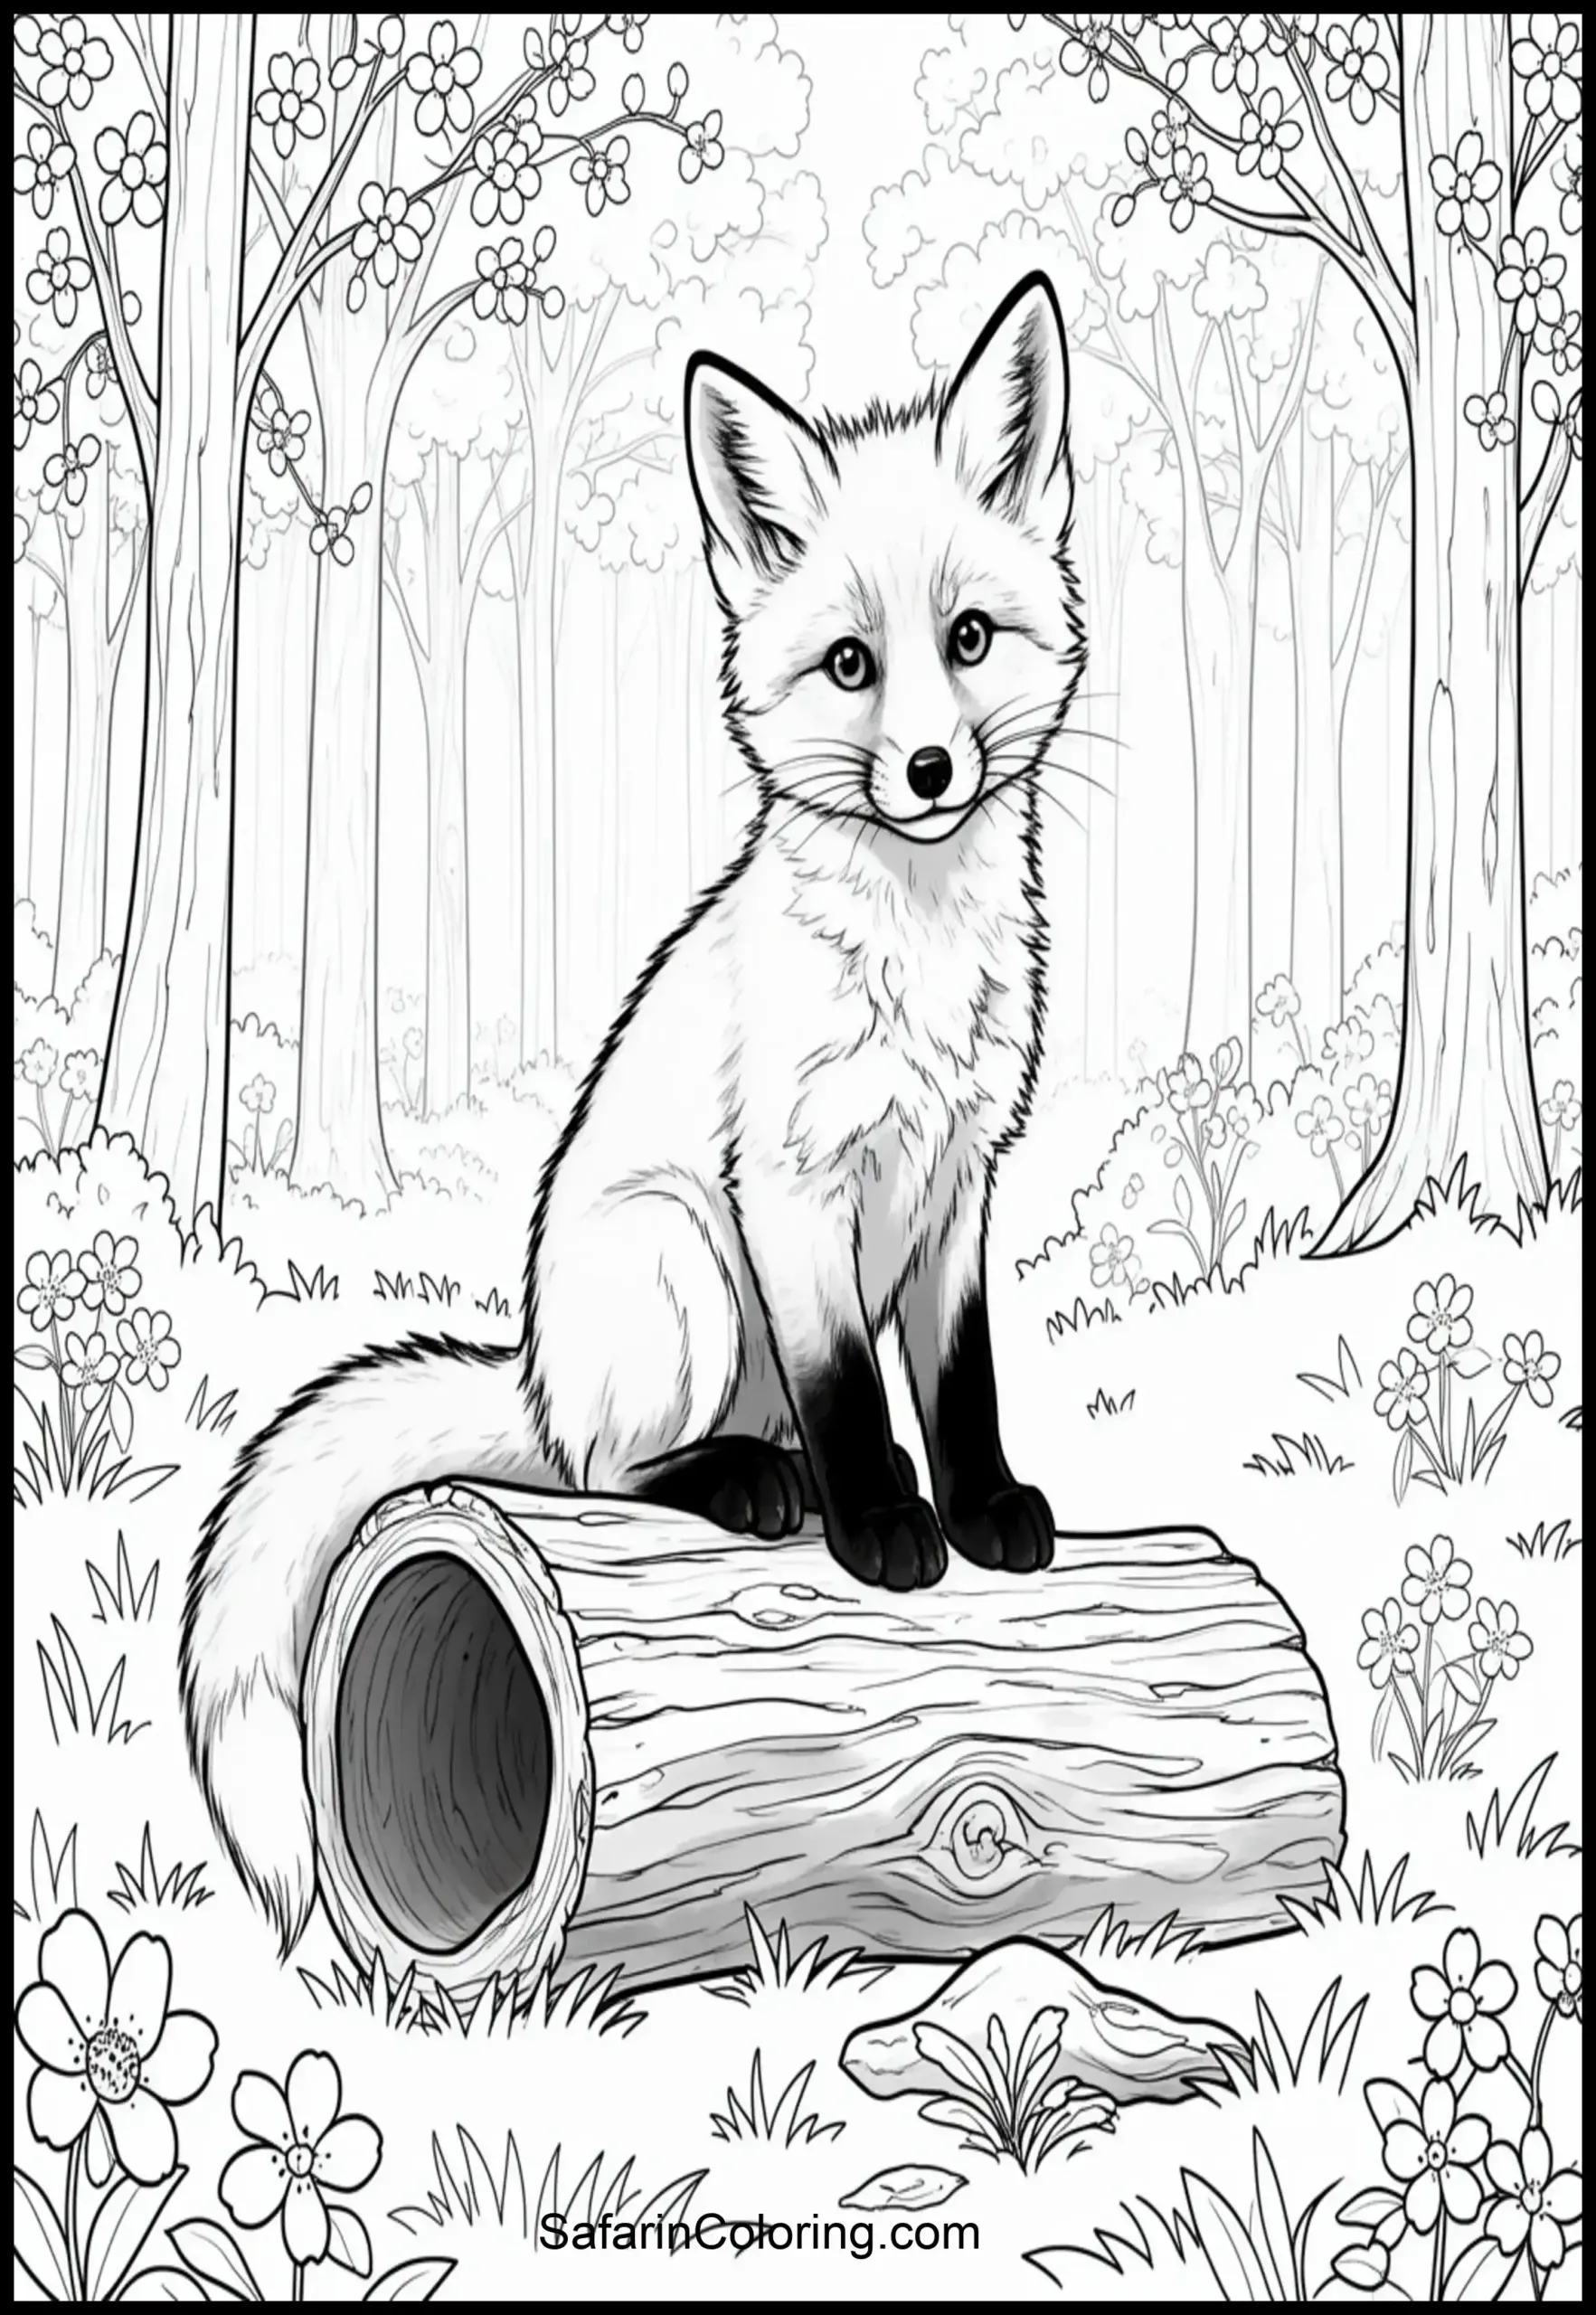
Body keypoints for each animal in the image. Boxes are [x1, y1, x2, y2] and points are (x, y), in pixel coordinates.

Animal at [181, 270, 1086, 1954]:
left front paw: (984, 1505)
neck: (915, 965)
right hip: (678, 1270)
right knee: (610, 1472)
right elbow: (854, 1395)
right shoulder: (789, 1188)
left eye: (969, 639)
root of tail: (533, 1370)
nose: (932, 768)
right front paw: (884, 1531)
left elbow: (961, 1386)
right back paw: (749, 1487)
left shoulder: (955, 1188)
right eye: (851, 666)